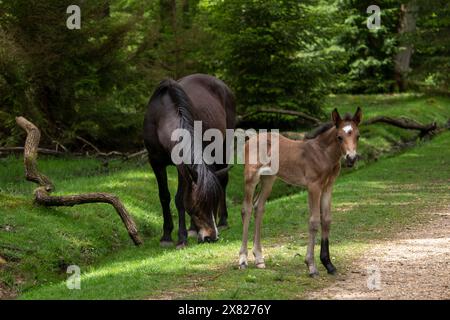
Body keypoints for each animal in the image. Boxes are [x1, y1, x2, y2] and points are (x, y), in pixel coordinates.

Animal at [144, 74, 236, 248]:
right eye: (199, 205)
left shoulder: (181, 166)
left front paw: (182, 238)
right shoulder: (156, 162)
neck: (161, 117)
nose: (212, 237)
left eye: (213, 204)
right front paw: (166, 236)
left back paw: (222, 221)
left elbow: (180, 199)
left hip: (223, 146)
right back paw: (193, 229)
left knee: (223, 181)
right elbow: (164, 196)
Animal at [239, 107, 362, 276]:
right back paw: (242, 260)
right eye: (339, 137)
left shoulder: (328, 187)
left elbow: (327, 220)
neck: (322, 153)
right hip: (251, 178)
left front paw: (328, 264)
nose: (351, 158)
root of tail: (251, 138)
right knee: (247, 209)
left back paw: (259, 259)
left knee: (259, 207)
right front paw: (311, 265)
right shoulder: (313, 187)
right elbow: (314, 221)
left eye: (358, 136)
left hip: (268, 179)